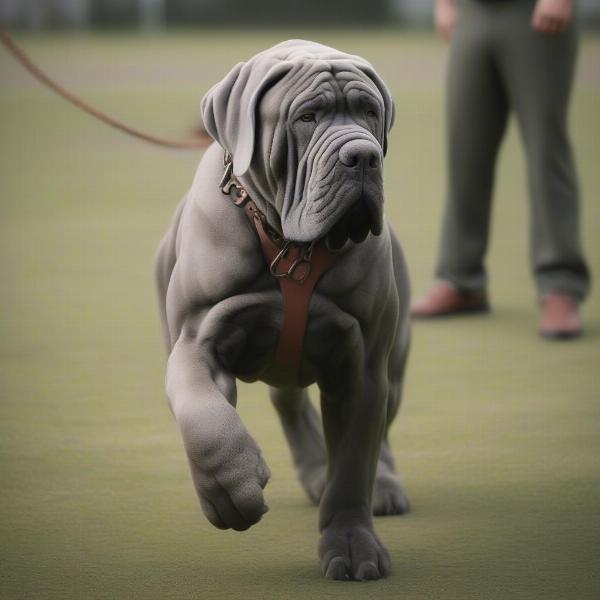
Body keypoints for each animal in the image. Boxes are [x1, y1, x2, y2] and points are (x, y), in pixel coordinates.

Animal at [154, 41, 412, 580]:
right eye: (307, 117)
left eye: (370, 112)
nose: (364, 155)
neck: (294, 246)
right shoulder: (195, 341)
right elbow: (203, 416)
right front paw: (230, 488)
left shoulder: (362, 368)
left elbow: (353, 462)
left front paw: (352, 544)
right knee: (290, 404)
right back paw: (311, 471)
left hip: (394, 365)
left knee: (378, 429)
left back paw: (381, 485)